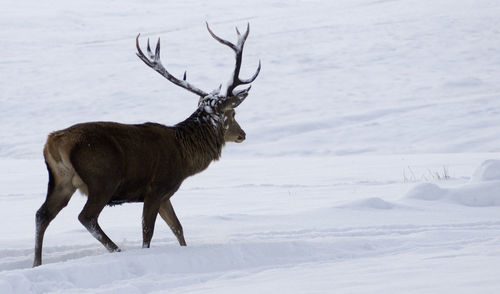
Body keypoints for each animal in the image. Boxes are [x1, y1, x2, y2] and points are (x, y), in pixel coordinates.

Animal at [34, 22, 262, 266]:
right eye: (233, 113)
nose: (242, 134)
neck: (185, 157)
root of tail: (54, 142)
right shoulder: (156, 187)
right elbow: (147, 231)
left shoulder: (165, 195)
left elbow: (178, 227)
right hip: (103, 178)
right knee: (86, 217)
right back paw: (117, 250)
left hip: (62, 181)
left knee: (42, 214)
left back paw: (37, 263)